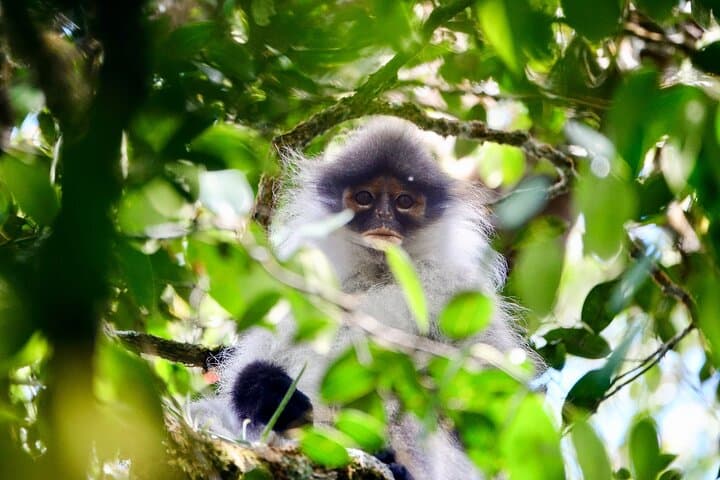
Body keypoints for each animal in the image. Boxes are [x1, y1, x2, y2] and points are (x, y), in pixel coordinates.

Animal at [191, 117, 534, 479]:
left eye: (403, 201)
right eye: (365, 197)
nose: (383, 217)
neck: (378, 274)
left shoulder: (459, 286)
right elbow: (248, 371)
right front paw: (269, 391)